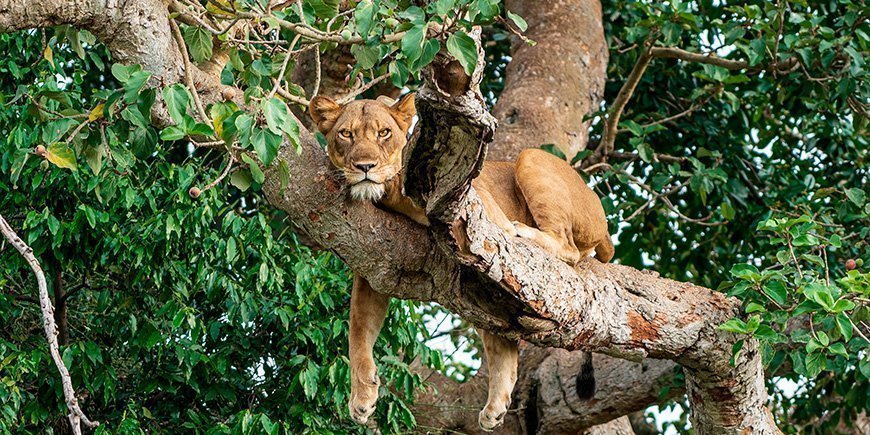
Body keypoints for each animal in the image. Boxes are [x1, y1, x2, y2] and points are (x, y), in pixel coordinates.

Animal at [310, 93, 616, 432]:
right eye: (345, 134)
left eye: (384, 133)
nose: (365, 167)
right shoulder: (374, 266)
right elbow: (359, 330)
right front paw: (361, 396)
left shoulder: (482, 210)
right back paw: (495, 407)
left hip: (531, 157)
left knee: (568, 248)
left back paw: (524, 232)